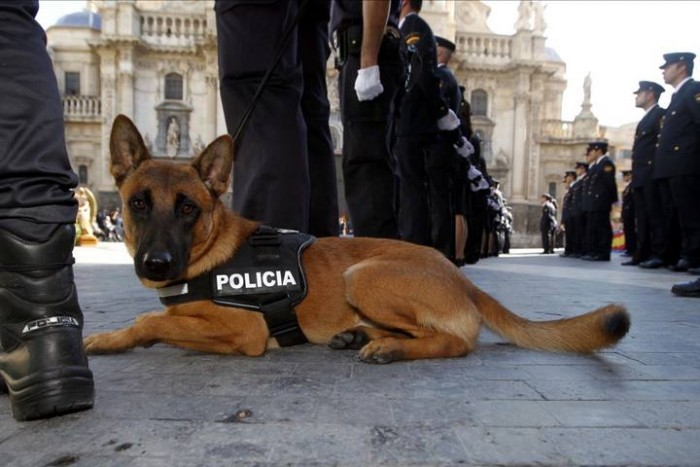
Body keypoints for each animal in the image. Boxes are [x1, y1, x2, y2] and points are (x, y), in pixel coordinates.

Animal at [85, 115, 632, 364]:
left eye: (188, 209)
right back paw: (362, 336)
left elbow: (151, 320)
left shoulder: (245, 331)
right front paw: (109, 336)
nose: (156, 264)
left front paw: (119, 336)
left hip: (362, 275)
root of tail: (461, 278)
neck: (213, 251)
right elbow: (154, 317)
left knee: (457, 342)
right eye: (138, 204)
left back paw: (387, 347)